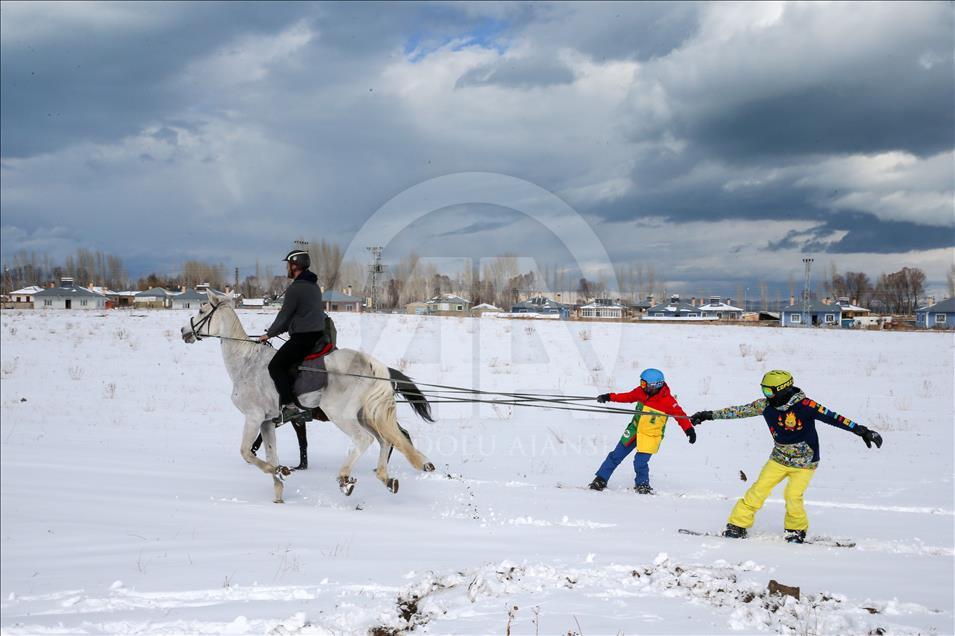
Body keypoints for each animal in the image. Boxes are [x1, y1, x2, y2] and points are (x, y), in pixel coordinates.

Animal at [180, 292, 436, 502]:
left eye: (201, 311)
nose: (184, 331)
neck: (247, 362)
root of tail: (373, 364)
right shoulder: (268, 422)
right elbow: (271, 454)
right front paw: (279, 489)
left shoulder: (254, 417)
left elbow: (247, 453)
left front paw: (281, 472)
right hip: (366, 415)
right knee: (387, 440)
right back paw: (386, 477)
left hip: (341, 415)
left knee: (365, 440)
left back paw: (346, 479)